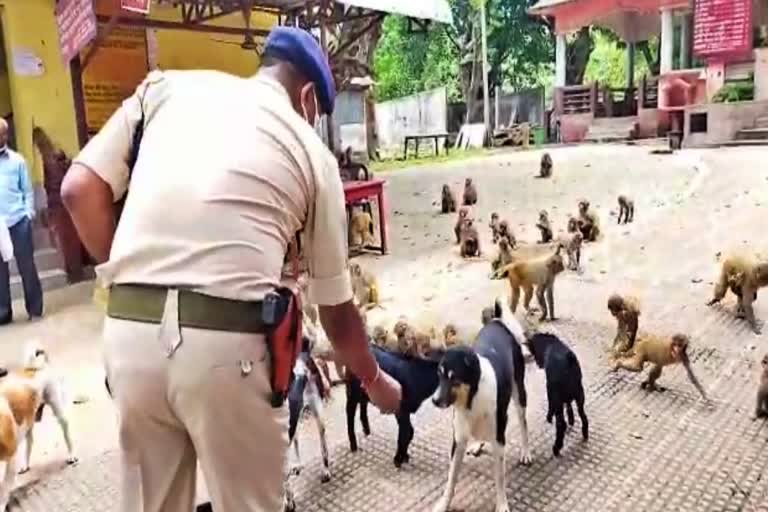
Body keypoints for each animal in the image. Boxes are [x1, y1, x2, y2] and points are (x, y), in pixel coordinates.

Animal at [0, 344, 77, 508]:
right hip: (28, 421)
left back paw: (71, 454)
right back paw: (25, 464)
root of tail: (37, 367)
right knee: (30, 441)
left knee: (66, 431)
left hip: (57, 408)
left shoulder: (11, 459)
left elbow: (3, 490)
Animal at [432, 298, 536, 512]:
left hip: (519, 393)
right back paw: (477, 444)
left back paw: (525, 451)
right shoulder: (458, 439)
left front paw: (502, 504)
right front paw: (444, 503)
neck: (471, 399)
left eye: (454, 379)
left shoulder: (499, 440)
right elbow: (451, 479)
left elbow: (500, 478)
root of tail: (497, 321)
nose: (435, 400)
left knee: (523, 423)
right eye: (439, 374)